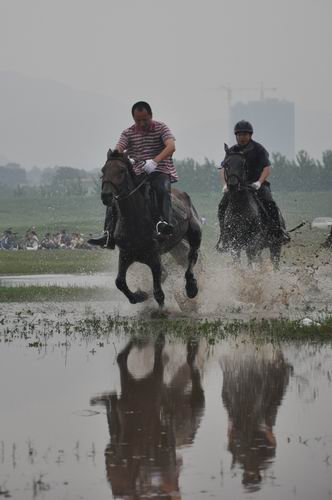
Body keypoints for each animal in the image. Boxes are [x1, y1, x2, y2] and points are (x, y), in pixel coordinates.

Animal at [101, 150, 201, 306]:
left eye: (122, 171)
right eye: (103, 170)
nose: (106, 195)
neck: (135, 219)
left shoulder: (154, 257)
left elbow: (159, 293)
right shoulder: (125, 254)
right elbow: (120, 282)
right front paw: (139, 296)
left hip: (195, 233)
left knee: (192, 256)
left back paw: (191, 288)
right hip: (175, 245)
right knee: (184, 259)